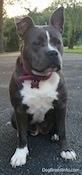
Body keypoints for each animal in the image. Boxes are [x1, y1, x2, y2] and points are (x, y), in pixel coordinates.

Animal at [9, 7, 76, 168]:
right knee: (22, 130)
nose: (53, 53)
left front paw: (66, 150)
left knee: (58, 125)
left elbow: (63, 130)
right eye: (37, 43)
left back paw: (55, 134)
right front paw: (20, 154)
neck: (38, 78)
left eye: (58, 42)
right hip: (13, 115)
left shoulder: (61, 105)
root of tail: (39, 129)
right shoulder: (19, 109)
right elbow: (22, 136)